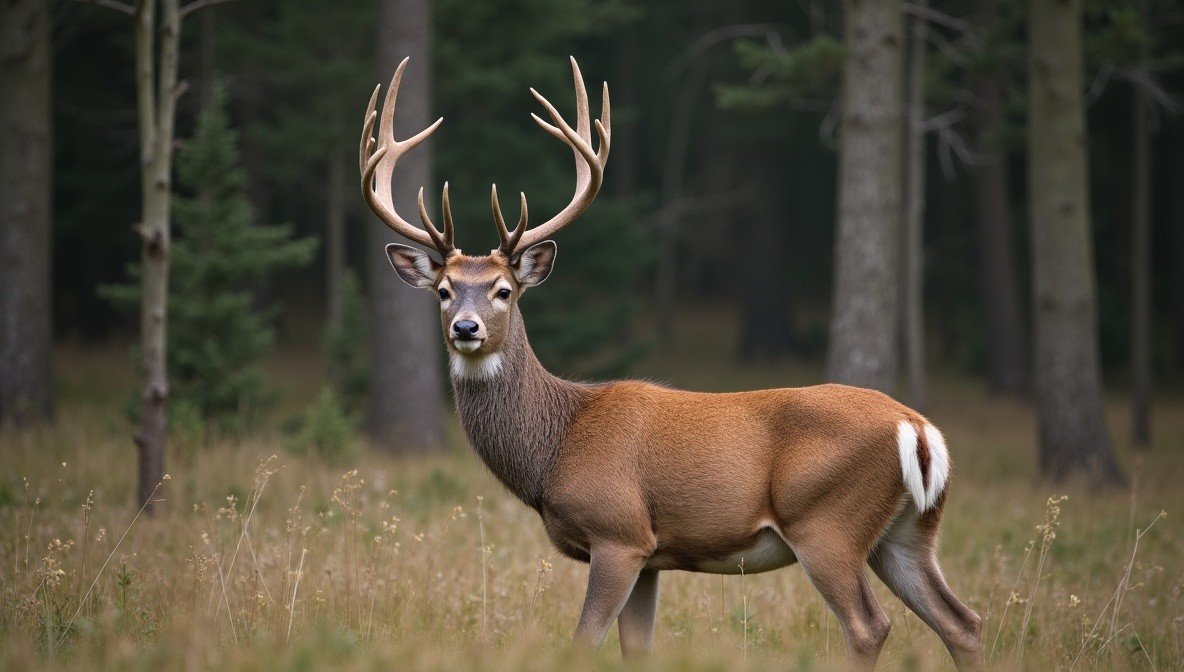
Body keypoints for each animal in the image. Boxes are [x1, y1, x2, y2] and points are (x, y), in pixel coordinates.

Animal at [358, 56, 984, 671]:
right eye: (443, 291)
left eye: (504, 290)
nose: (466, 328)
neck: (557, 444)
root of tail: (918, 429)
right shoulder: (653, 556)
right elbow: (637, 647)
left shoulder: (619, 532)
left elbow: (583, 642)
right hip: (907, 533)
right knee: (964, 622)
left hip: (826, 520)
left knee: (869, 626)